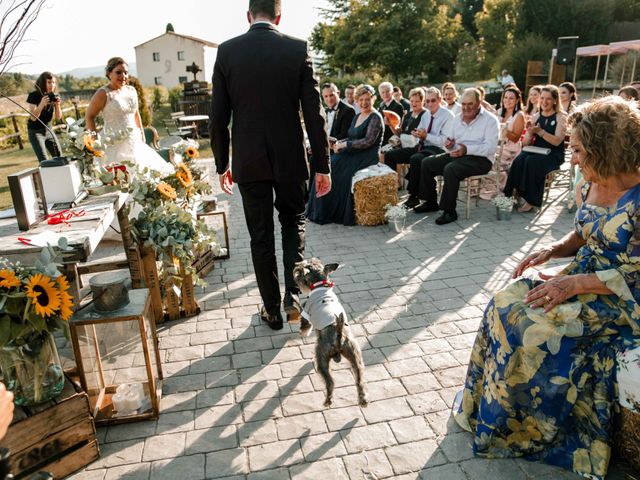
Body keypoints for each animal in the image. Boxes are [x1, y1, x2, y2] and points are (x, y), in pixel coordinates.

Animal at [292, 256, 368, 406]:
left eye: (301, 269)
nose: (296, 269)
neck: (320, 285)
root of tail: (338, 334)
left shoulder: (306, 312)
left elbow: (305, 325)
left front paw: (302, 333)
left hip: (321, 355)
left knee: (330, 381)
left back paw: (328, 400)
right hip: (354, 354)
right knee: (359, 378)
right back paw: (363, 400)